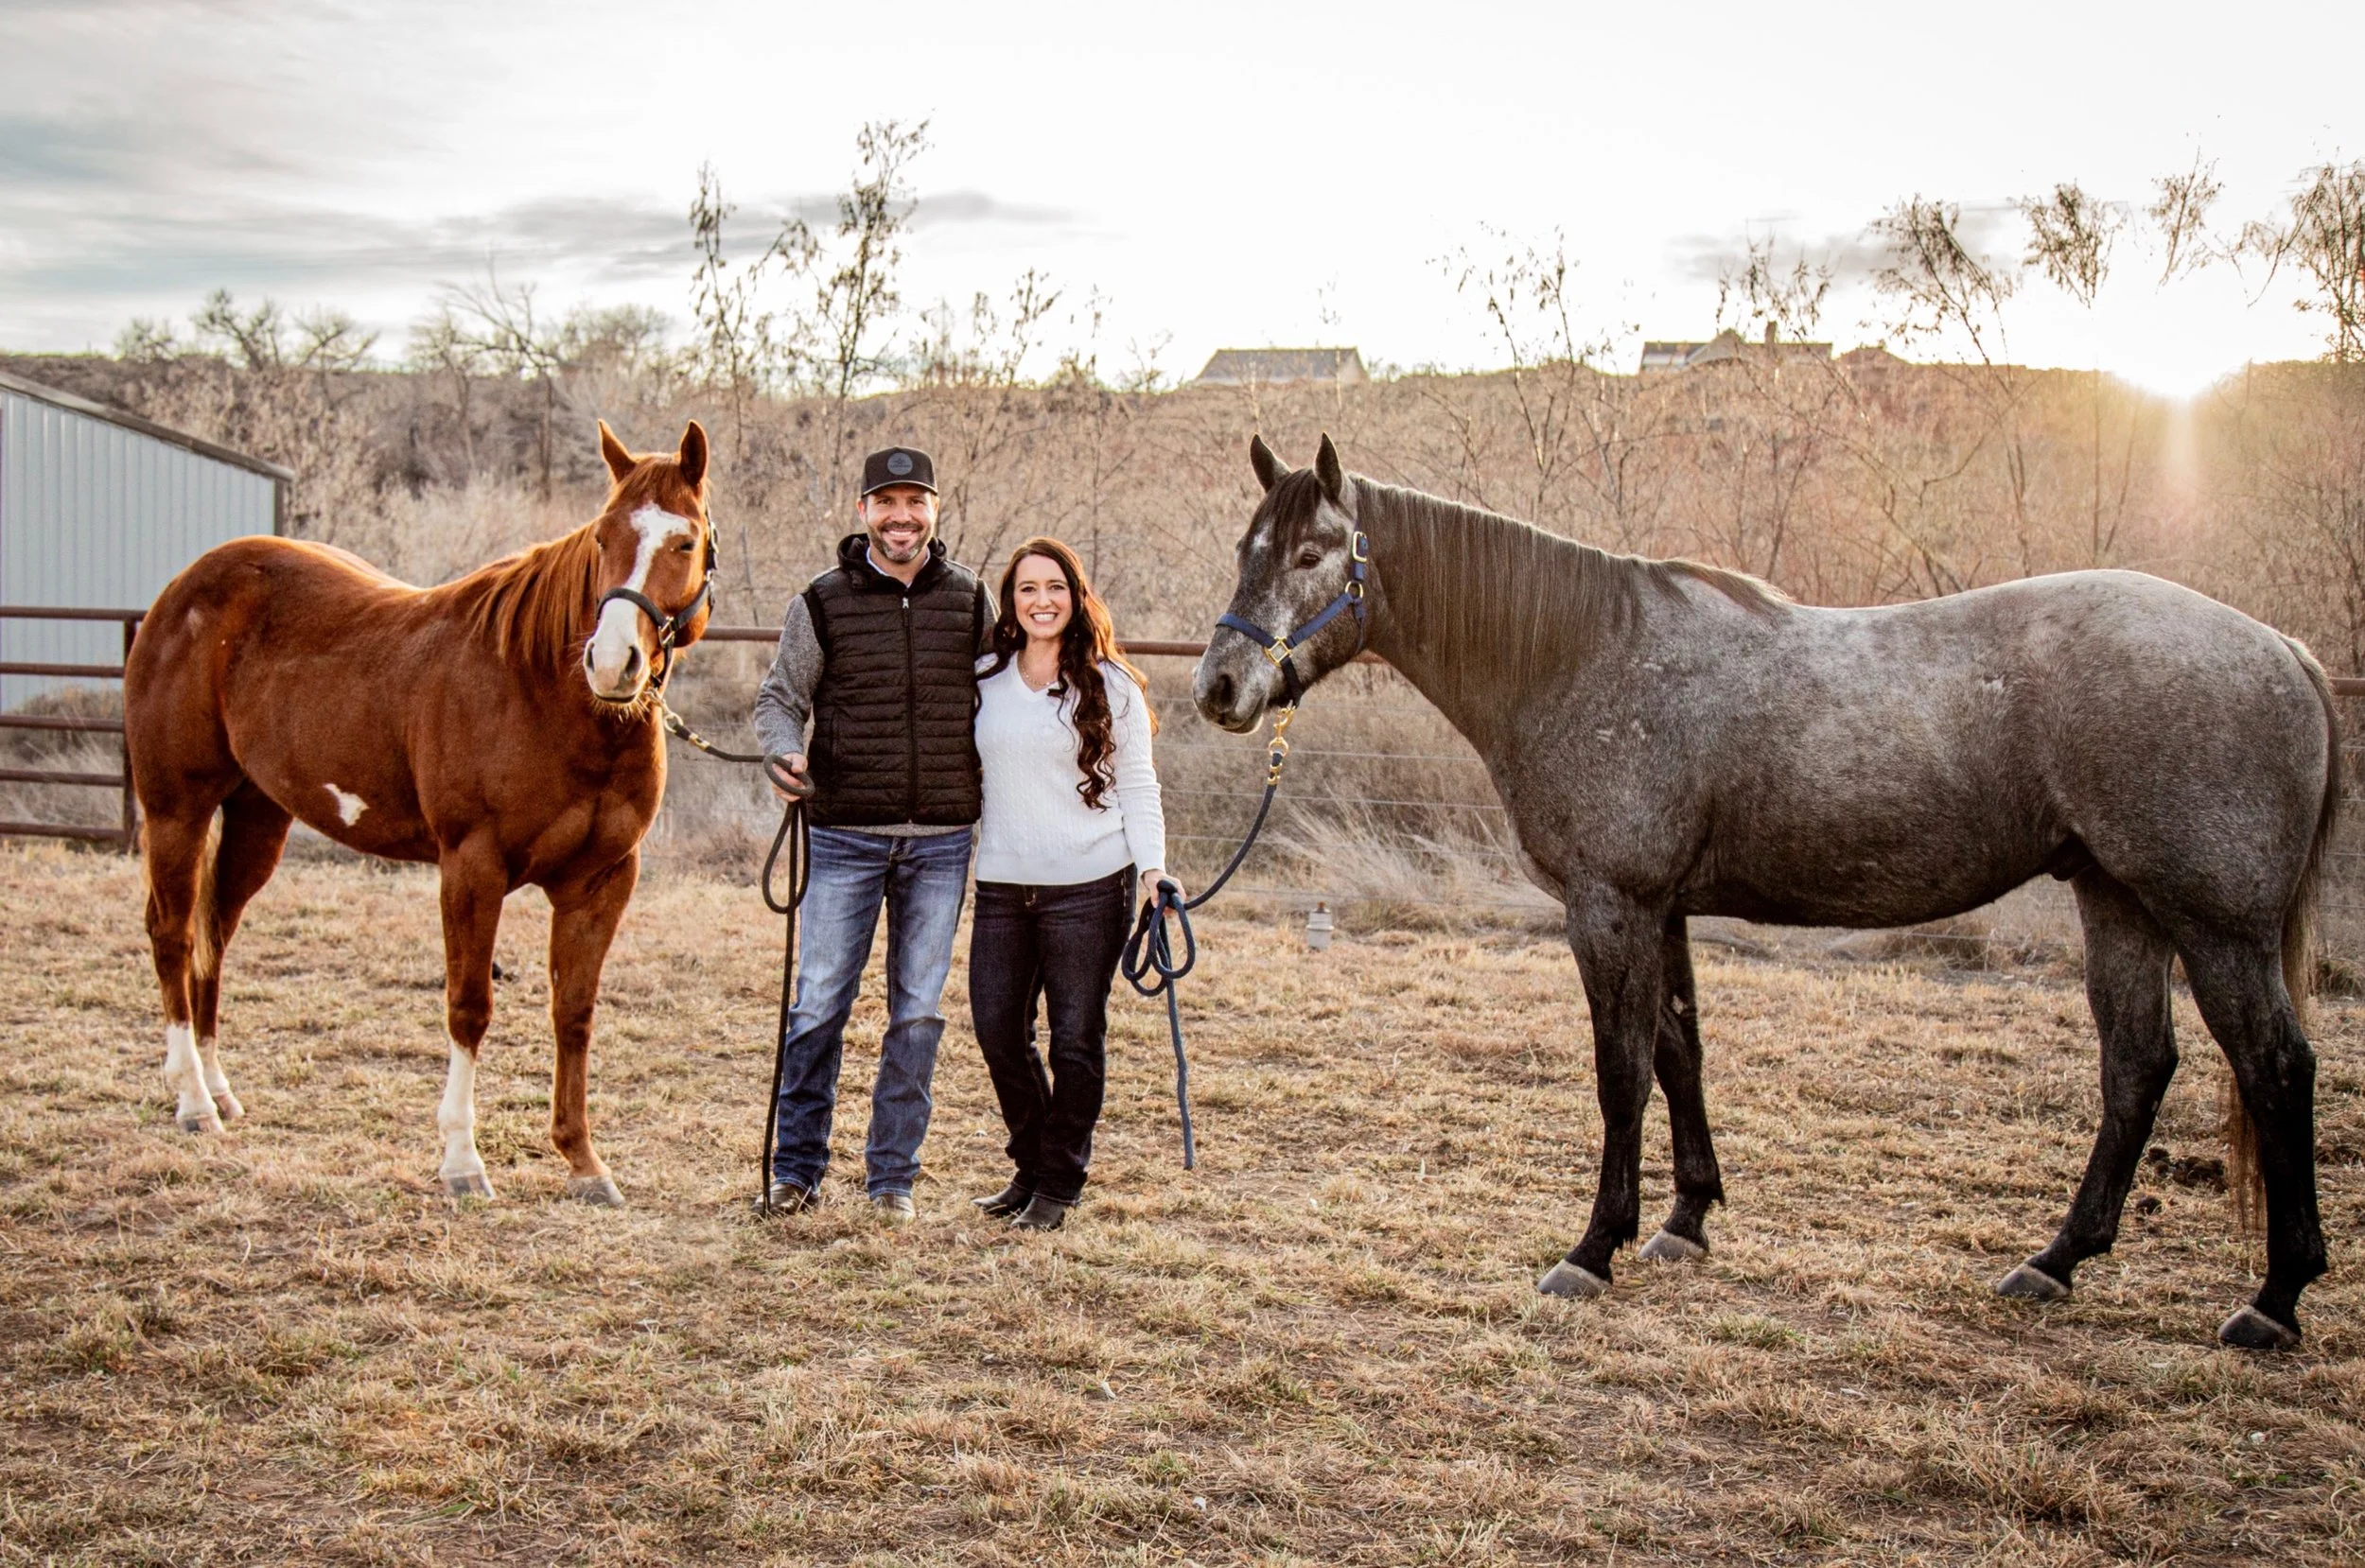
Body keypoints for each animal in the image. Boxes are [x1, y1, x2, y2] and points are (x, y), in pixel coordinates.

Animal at [123, 420, 717, 1206]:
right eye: (602, 537)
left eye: (684, 541)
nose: (611, 662)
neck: (543, 692)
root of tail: (178, 593)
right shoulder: (471, 868)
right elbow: (470, 1007)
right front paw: (462, 1161)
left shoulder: (602, 882)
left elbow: (574, 1013)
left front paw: (584, 1162)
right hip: (176, 809)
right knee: (171, 935)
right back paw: (192, 1101)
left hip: (257, 817)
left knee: (213, 932)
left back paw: (218, 1089)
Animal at [1194, 433, 2338, 1351]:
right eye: (1244, 548)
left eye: (1312, 554)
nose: (1219, 689)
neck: (1583, 655)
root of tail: (2284, 651)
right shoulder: (1662, 909)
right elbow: (1679, 1052)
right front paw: (1683, 1221)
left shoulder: (1610, 906)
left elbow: (1620, 1074)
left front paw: (1592, 1249)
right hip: (2119, 901)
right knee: (2137, 1066)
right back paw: (2055, 1261)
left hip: (2215, 924)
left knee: (2276, 1068)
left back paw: (2273, 1302)